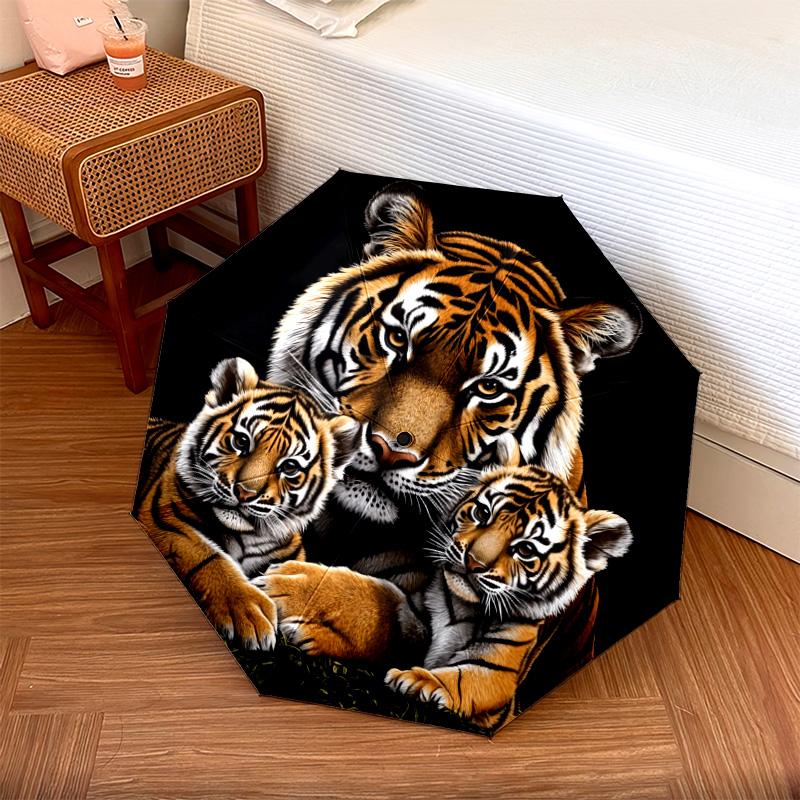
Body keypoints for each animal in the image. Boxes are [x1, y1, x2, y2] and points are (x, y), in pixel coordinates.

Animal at [133, 356, 362, 650]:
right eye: (242, 441)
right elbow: (207, 555)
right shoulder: (164, 517)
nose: (244, 493)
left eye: (289, 467)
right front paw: (248, 612)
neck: (244, 536)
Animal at [384, 439, 632, 731]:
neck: (461, 605)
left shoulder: (494, 668)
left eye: (525, 550)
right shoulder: (413, 610)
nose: (473, 562)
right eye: (483, 513)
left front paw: (415, 680)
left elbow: (460, 677)